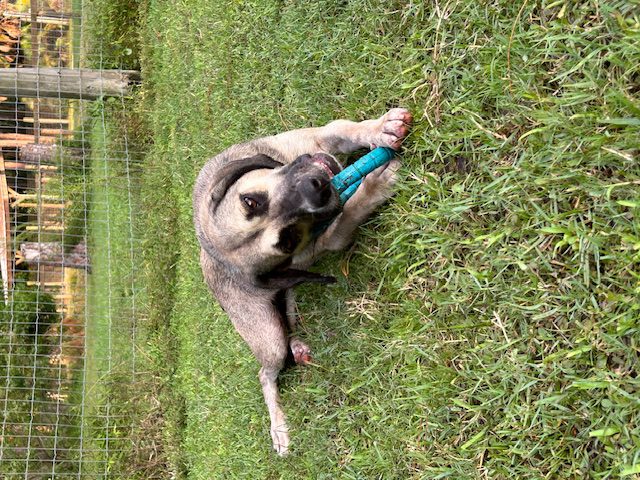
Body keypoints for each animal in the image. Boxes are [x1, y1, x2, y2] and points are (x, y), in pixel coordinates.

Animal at [192, 108, 412, 454]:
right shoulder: (331, 237)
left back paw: (298, 347)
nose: (317, 187)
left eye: (250, 201)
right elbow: (348, 212)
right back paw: (279, 428)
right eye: (287, 240)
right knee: (265, 373)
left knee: (290, 323)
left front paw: (382, 128)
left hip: (288, 298)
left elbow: (347, 128)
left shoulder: (315, 136)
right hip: (268, 338)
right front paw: (373, 186)